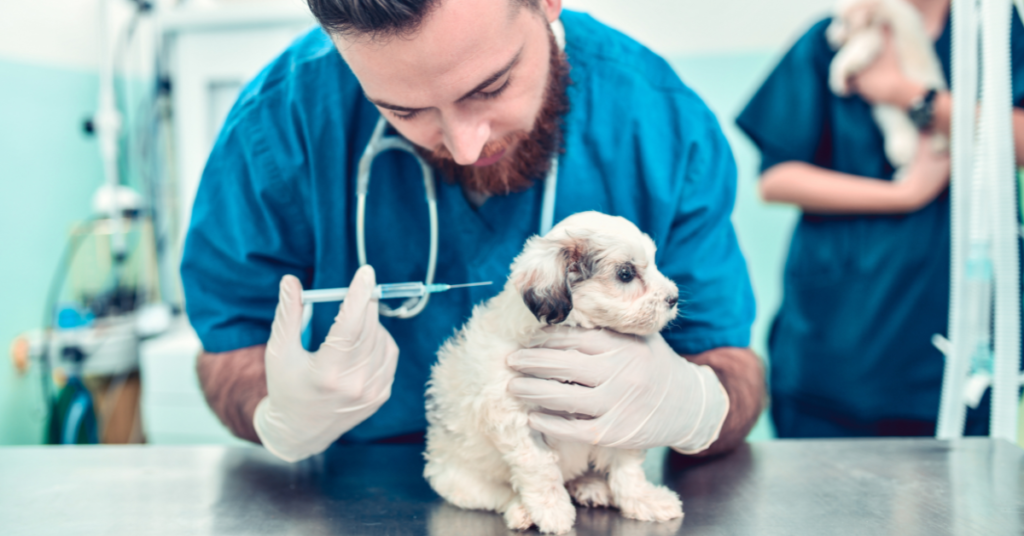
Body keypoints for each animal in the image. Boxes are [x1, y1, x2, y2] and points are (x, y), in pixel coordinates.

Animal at [423, 212, 688, 532]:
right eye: (625, 274)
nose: (674, 298)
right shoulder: (514, 418)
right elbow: (540, 468)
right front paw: (552, 510)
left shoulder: (619, 417)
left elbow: (627, 469)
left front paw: (643, 500)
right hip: (458, 478)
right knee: (495, 493)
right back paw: (521, 509)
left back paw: (590, 486)